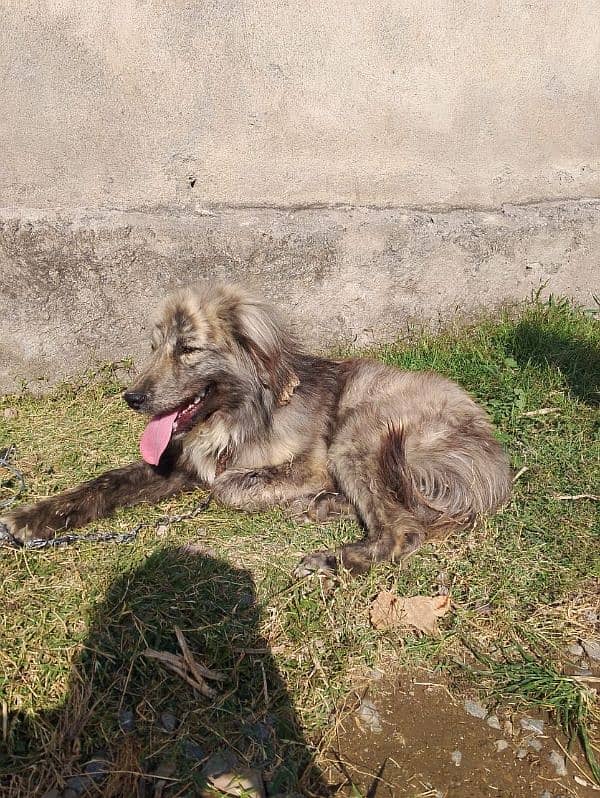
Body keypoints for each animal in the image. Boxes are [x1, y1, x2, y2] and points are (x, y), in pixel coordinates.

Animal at [0, 284, 510, 572]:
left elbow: (225, 485)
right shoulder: (177, 462)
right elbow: (104, 482)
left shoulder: (309, 466)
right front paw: (30, 517)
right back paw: (324, 508)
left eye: (187, 348)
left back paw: (334, 556)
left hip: (357, 435)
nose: (133, 398)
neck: (236, 413)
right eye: (155, 346)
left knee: (404, 528)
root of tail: (491, 456)